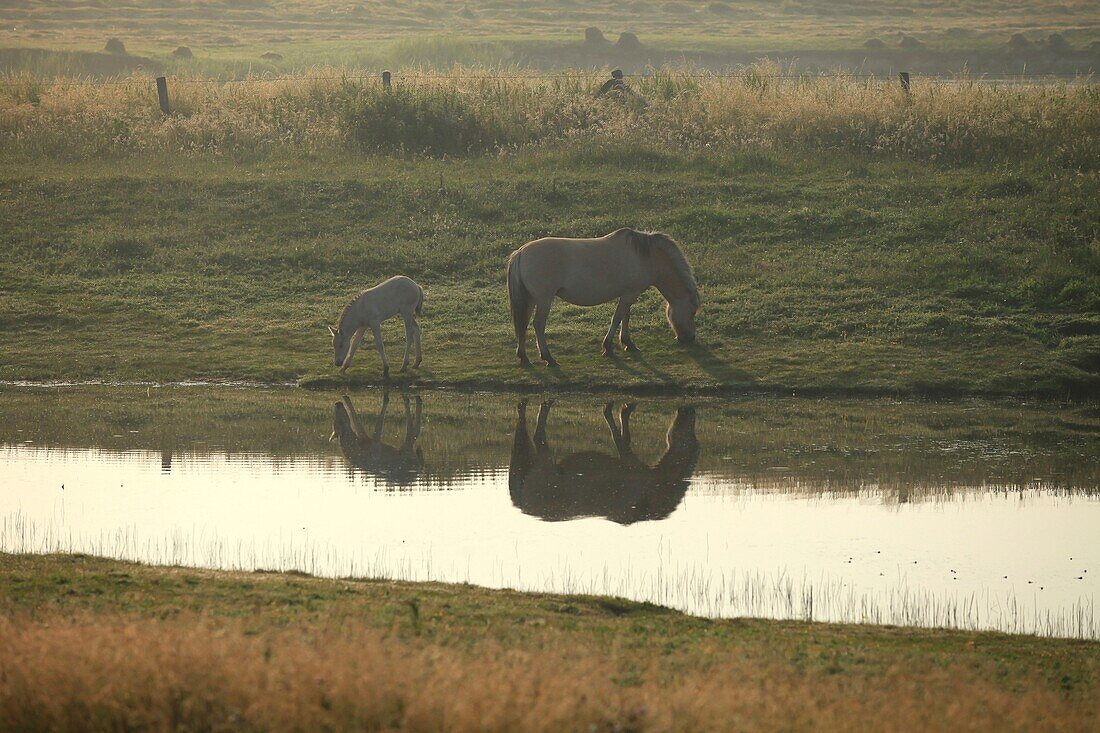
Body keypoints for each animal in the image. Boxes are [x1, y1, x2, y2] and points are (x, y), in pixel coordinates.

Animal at [503, 225, 699, 365]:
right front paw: (609, 347)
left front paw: (628, 343)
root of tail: (520, 252)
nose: (689, 338)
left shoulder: (628, 294)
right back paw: (548, 358)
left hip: (530, 299)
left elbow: (625, 316)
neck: (647, 258)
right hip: (544, 299)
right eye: (692, 312)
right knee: (538, 324)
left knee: (523, 323)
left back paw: (524, 357)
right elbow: (617, 317)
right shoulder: (629, 294)